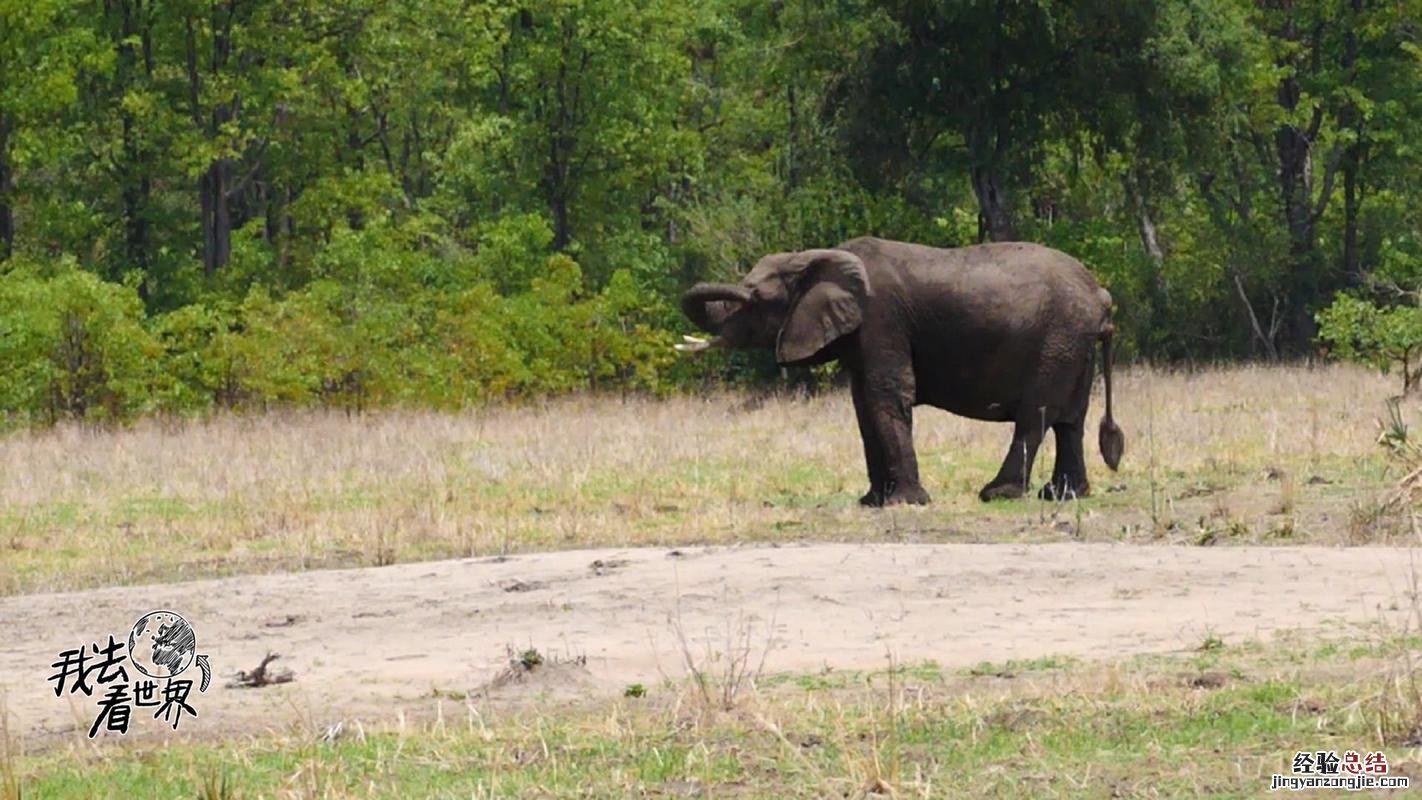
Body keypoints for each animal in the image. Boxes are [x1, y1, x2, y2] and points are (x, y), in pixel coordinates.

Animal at [676, 234, 1120, 505]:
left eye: (756, 298)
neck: (818, 257)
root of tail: (1101, 294)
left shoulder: (880, 320)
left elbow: (885, 396)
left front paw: (905, 502)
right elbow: (863, 406)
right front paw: (872, 502)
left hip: (1057, 339)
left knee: (1036, 416)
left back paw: (997, 493)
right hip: (1073, 343)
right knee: (1070, 421)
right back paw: (1064, 494)